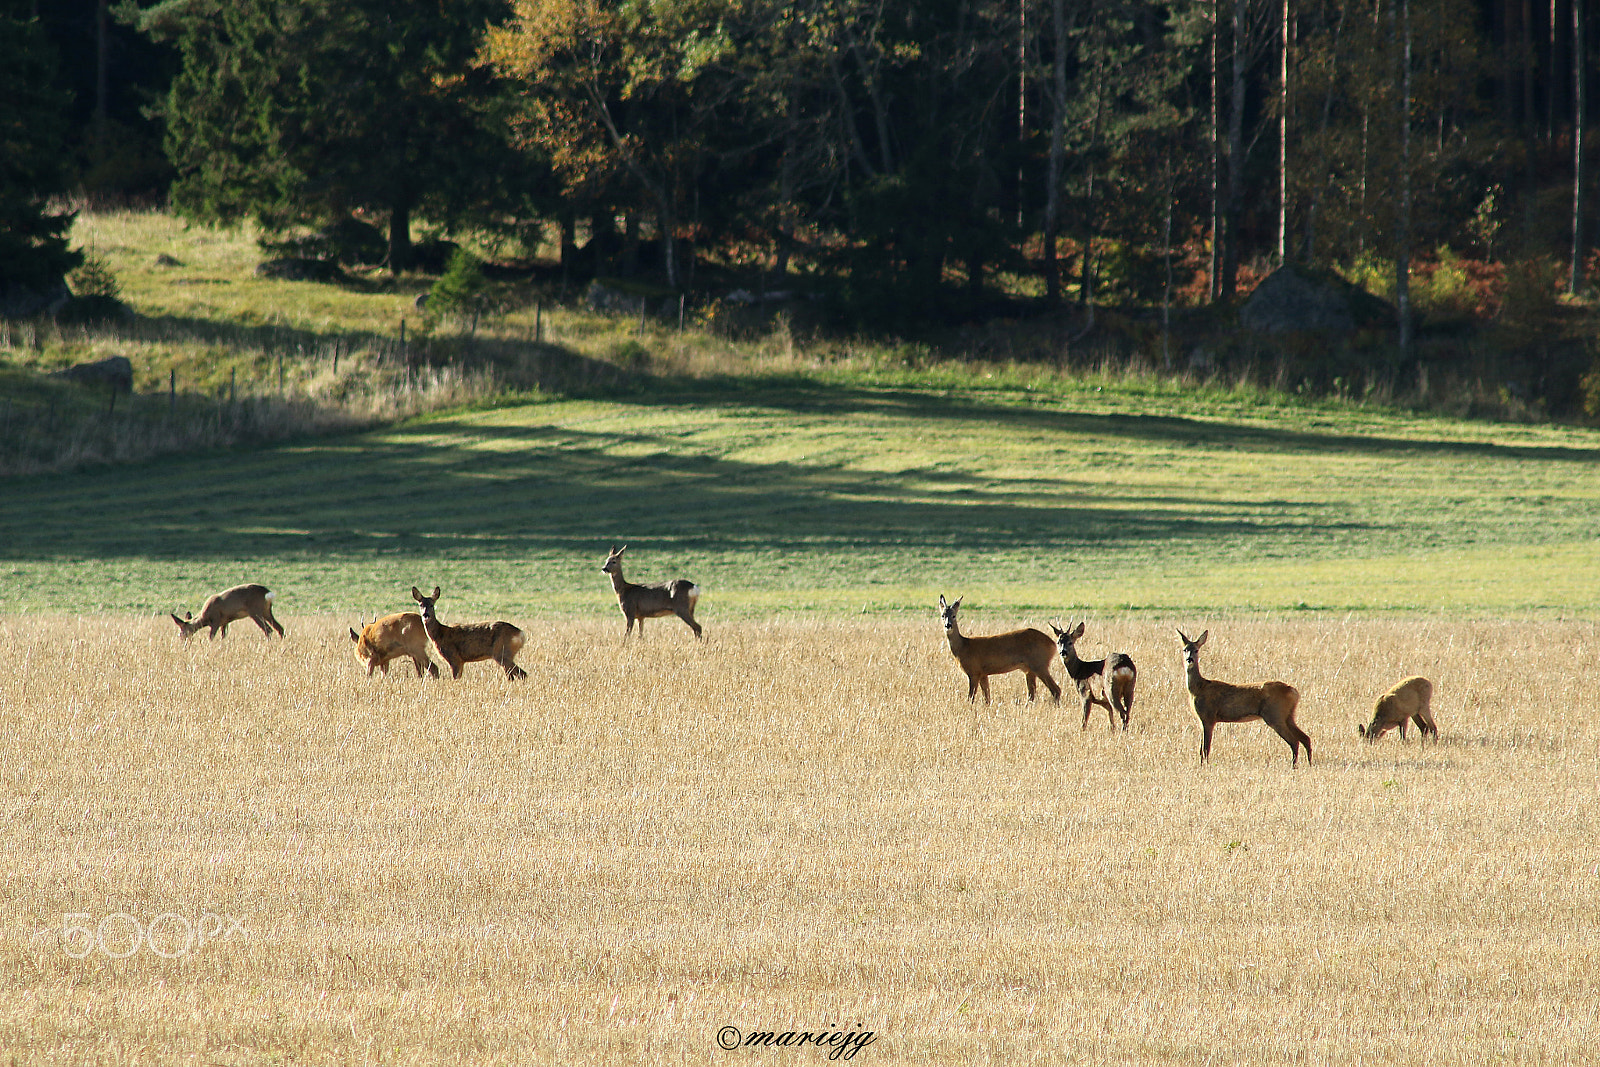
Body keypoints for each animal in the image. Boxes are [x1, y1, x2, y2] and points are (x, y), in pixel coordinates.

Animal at [1177, 629, 1309, 767]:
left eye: (1196, 650)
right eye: (1185, 649)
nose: (1189, 659)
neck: (1198, 688)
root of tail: (1293, 691)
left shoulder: (1208, 717)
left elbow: (1205, 749)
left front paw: (1204, 766)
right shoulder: (1202, 720)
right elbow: (1201, 750)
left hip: (1275, 715)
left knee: (1294, 741)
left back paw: (1293, 766)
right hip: (1288, 715)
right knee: (1305, 738)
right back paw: (1309, 763)